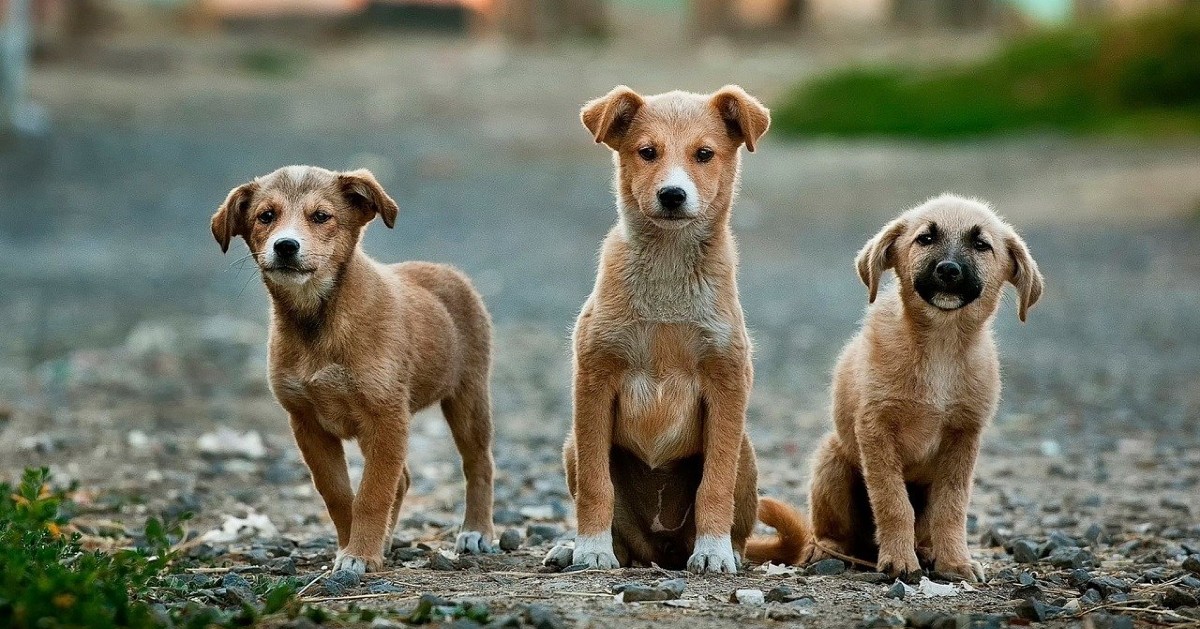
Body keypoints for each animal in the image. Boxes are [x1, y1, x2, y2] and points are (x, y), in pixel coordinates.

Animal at [211, 165, 496, 573]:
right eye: (266, 216)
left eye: (321, 216)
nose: (286, 246)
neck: (318, 321)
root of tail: (448, 271)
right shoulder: (307, 423)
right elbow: (339, 494)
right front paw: (353, 547)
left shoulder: (386, 416)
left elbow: (373, 493)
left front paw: (360, 554)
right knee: (403, 479)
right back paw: (388, 541)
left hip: (468, 397)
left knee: (478, 464)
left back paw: (477, 531)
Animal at [544, 84, 768, 573]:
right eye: (647, 152)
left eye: (704, 154)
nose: (672, 195)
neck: (668, 269)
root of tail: (661, 550)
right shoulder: (594, 380)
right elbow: (596, 485)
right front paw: (590, 548)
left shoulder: (727, 382)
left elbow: (714, 484)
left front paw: (713, 551)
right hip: (572, 445)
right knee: (619, 531)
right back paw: (577, 547)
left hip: (745, 452)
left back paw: (726, 551)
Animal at [748, 194, 1041, 583]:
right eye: (925, 238)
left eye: (981, 245)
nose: (949, 270)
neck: (940, 345)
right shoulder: (876, 429)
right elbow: (893, 503)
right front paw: (900, 561)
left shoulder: (964, 437)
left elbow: (951, 507)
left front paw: (954, 561)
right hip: (832, 460)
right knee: (830, 531)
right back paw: (829, 550)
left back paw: (928, 551)